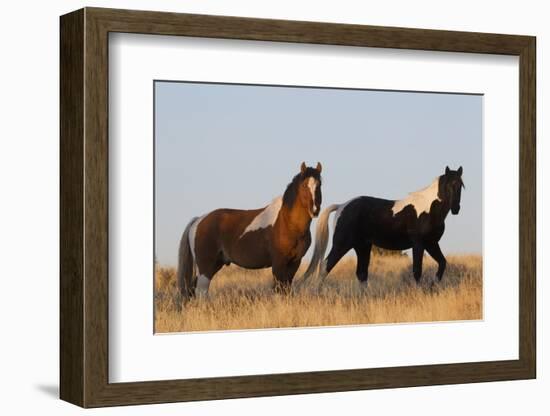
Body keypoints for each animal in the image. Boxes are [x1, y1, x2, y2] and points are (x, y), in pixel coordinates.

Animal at [177, 162, 324, 300]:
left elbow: (286, 289)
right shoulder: (278, 262)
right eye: (304, 185)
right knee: (201, 291)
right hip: (205, 267)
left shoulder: (294, 262)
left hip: (214, 264)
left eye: (319, 185)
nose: (315, 210)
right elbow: (278, 290)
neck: (287, 222)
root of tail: (198, 220)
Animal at [302, 166, 466, 290]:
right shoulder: (418, 244)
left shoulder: (431, 243)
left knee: (361, 273)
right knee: (325, 266)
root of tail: (342, 206)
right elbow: (417, 271)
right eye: (448, 185)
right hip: (342, 244)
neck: (428, 208)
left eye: (461, 185)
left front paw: (433, 284)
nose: (456, 208)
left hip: (362, 246)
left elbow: (442, 263)